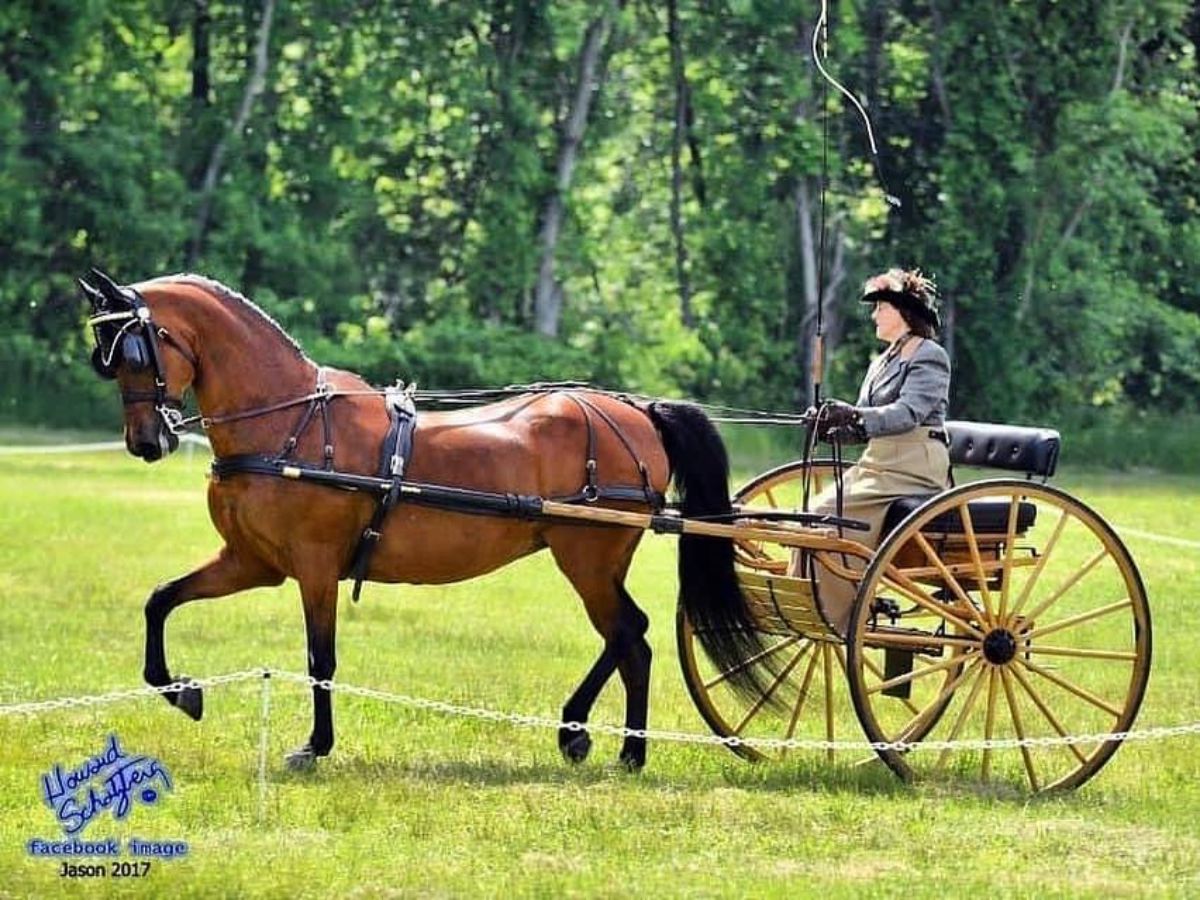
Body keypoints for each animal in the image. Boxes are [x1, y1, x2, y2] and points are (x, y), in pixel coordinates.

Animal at [79, 271, 763, 772]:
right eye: (105, 359)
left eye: (135, 352)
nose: (146, 442)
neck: (287, 423)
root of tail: (637, 410)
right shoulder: (253, 562)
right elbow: (160, 600)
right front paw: (181, 690)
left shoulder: (314, 567)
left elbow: (320, 658)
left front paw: (314, 747)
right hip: (590, 561)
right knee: (626, 636)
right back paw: (580, 733)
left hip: (587, 559)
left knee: (629, 637)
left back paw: (627, 750)